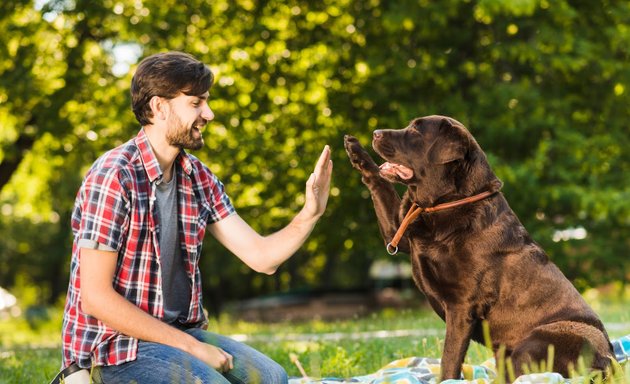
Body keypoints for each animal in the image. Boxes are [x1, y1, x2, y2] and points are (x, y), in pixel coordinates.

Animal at [344, 115, 616, 380]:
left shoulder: (461, 306)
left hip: (535, 342)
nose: (375, 132)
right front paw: (356, 150)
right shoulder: (399, 232)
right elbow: (381, 185)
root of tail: (609, 364)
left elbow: (449, 360)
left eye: (416, 131)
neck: (449, 203)